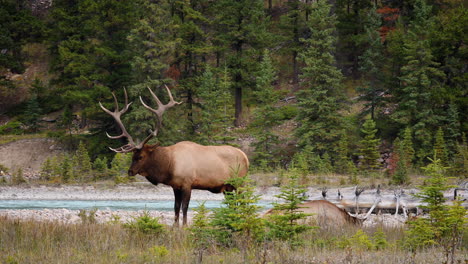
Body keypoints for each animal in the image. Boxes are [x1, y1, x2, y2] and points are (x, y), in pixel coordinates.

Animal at [100, 86, 250, 225]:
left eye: (141, 156)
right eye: (132, 157)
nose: (130, 171)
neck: (169, 165)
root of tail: (246, 157)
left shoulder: (187, 183)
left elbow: (185, 207)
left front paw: (184, 226)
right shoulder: (175, 186)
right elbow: (176, 207)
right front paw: (175, 226)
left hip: (240, 182)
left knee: (242, 201)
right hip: (228, 186)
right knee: (233, 203)